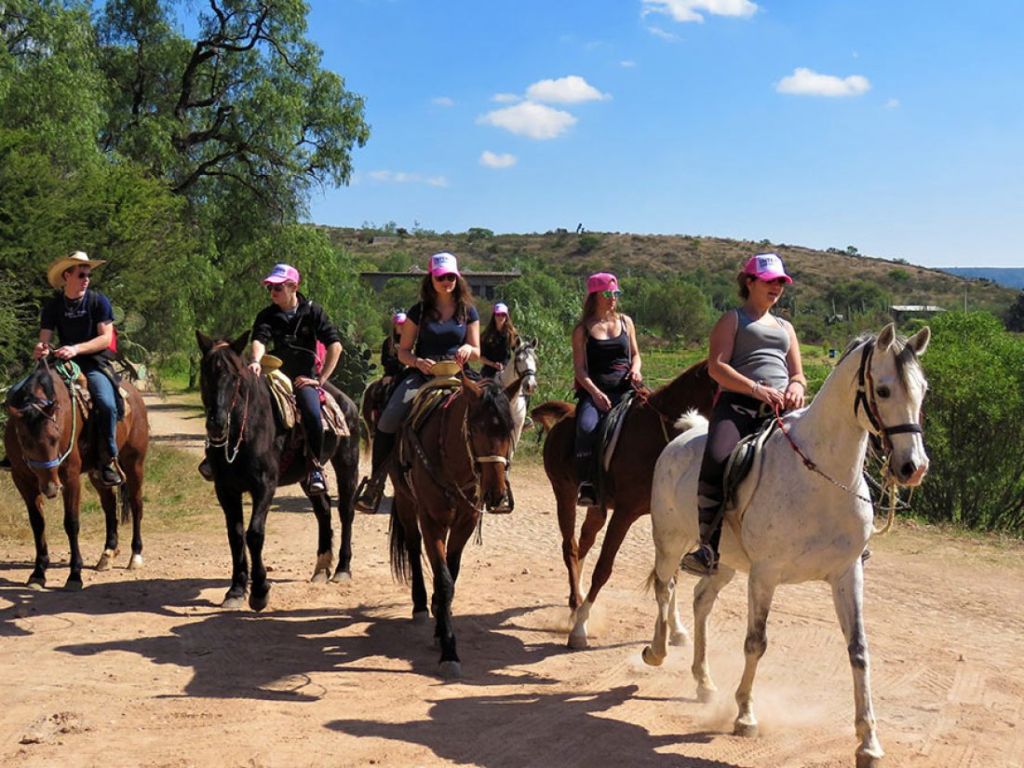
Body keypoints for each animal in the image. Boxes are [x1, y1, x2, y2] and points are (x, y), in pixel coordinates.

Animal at [4, 358, 148, 590]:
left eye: (55, 437)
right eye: (24, 440)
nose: (51, 488)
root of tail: (135, 395)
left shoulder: (69, 477)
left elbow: (71, 523)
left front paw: (74, 575)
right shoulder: (23, 480)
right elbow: (37, 523)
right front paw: (38, 573)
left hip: (134, 463)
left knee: (136, 505)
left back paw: (135, 556)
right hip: (98, 472)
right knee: (109, 504)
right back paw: (107, 553)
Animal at [196, 331, 360, 610]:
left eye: (235, 377)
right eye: (205, 373)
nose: (217, 424)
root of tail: (346, 401)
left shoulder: (265, 486)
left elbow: (254, 534)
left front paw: (260, 592)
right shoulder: (225, 489)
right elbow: (235, 535)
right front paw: (236, 590)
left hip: (347, 463)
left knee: (346, 512)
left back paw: (342, 569)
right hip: (307, 476)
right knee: (323, 510)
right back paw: (321, 568)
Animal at [388, 374, 522, 678]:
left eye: (509, 429)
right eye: (476, 428)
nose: (496, 494)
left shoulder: (465, 522)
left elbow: (452, 573)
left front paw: (442, 623)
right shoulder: (431, 522)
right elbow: (444, 579)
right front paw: (449, 650)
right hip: (404, 500)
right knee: (413, 547)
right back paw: (420, 605)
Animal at [531, 358, 717, 649]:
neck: (659, 436)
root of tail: (566, 415)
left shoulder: (669, 519)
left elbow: (671, 574)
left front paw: (676, 630)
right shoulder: (624, 513)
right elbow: (603, 569)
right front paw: (580, 629)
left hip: (597, 506)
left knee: (584, 542)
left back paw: (578, 597)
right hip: (564, 494)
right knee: (570, 547)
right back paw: (575, 605)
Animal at [643, 324, 930, 768]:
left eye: (923, 390)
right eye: (883, 390)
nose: (912, 468)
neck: (820, 476)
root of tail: (684, 436)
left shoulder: (847, 573)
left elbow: (859, 650)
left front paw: (868, 742)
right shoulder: (765, 575)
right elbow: (755, 642)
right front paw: (745, 715)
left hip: (724, 563)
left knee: (701, 599)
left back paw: (704, 682)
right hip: (671, 543)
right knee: (664, 587)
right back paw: (657, 651)